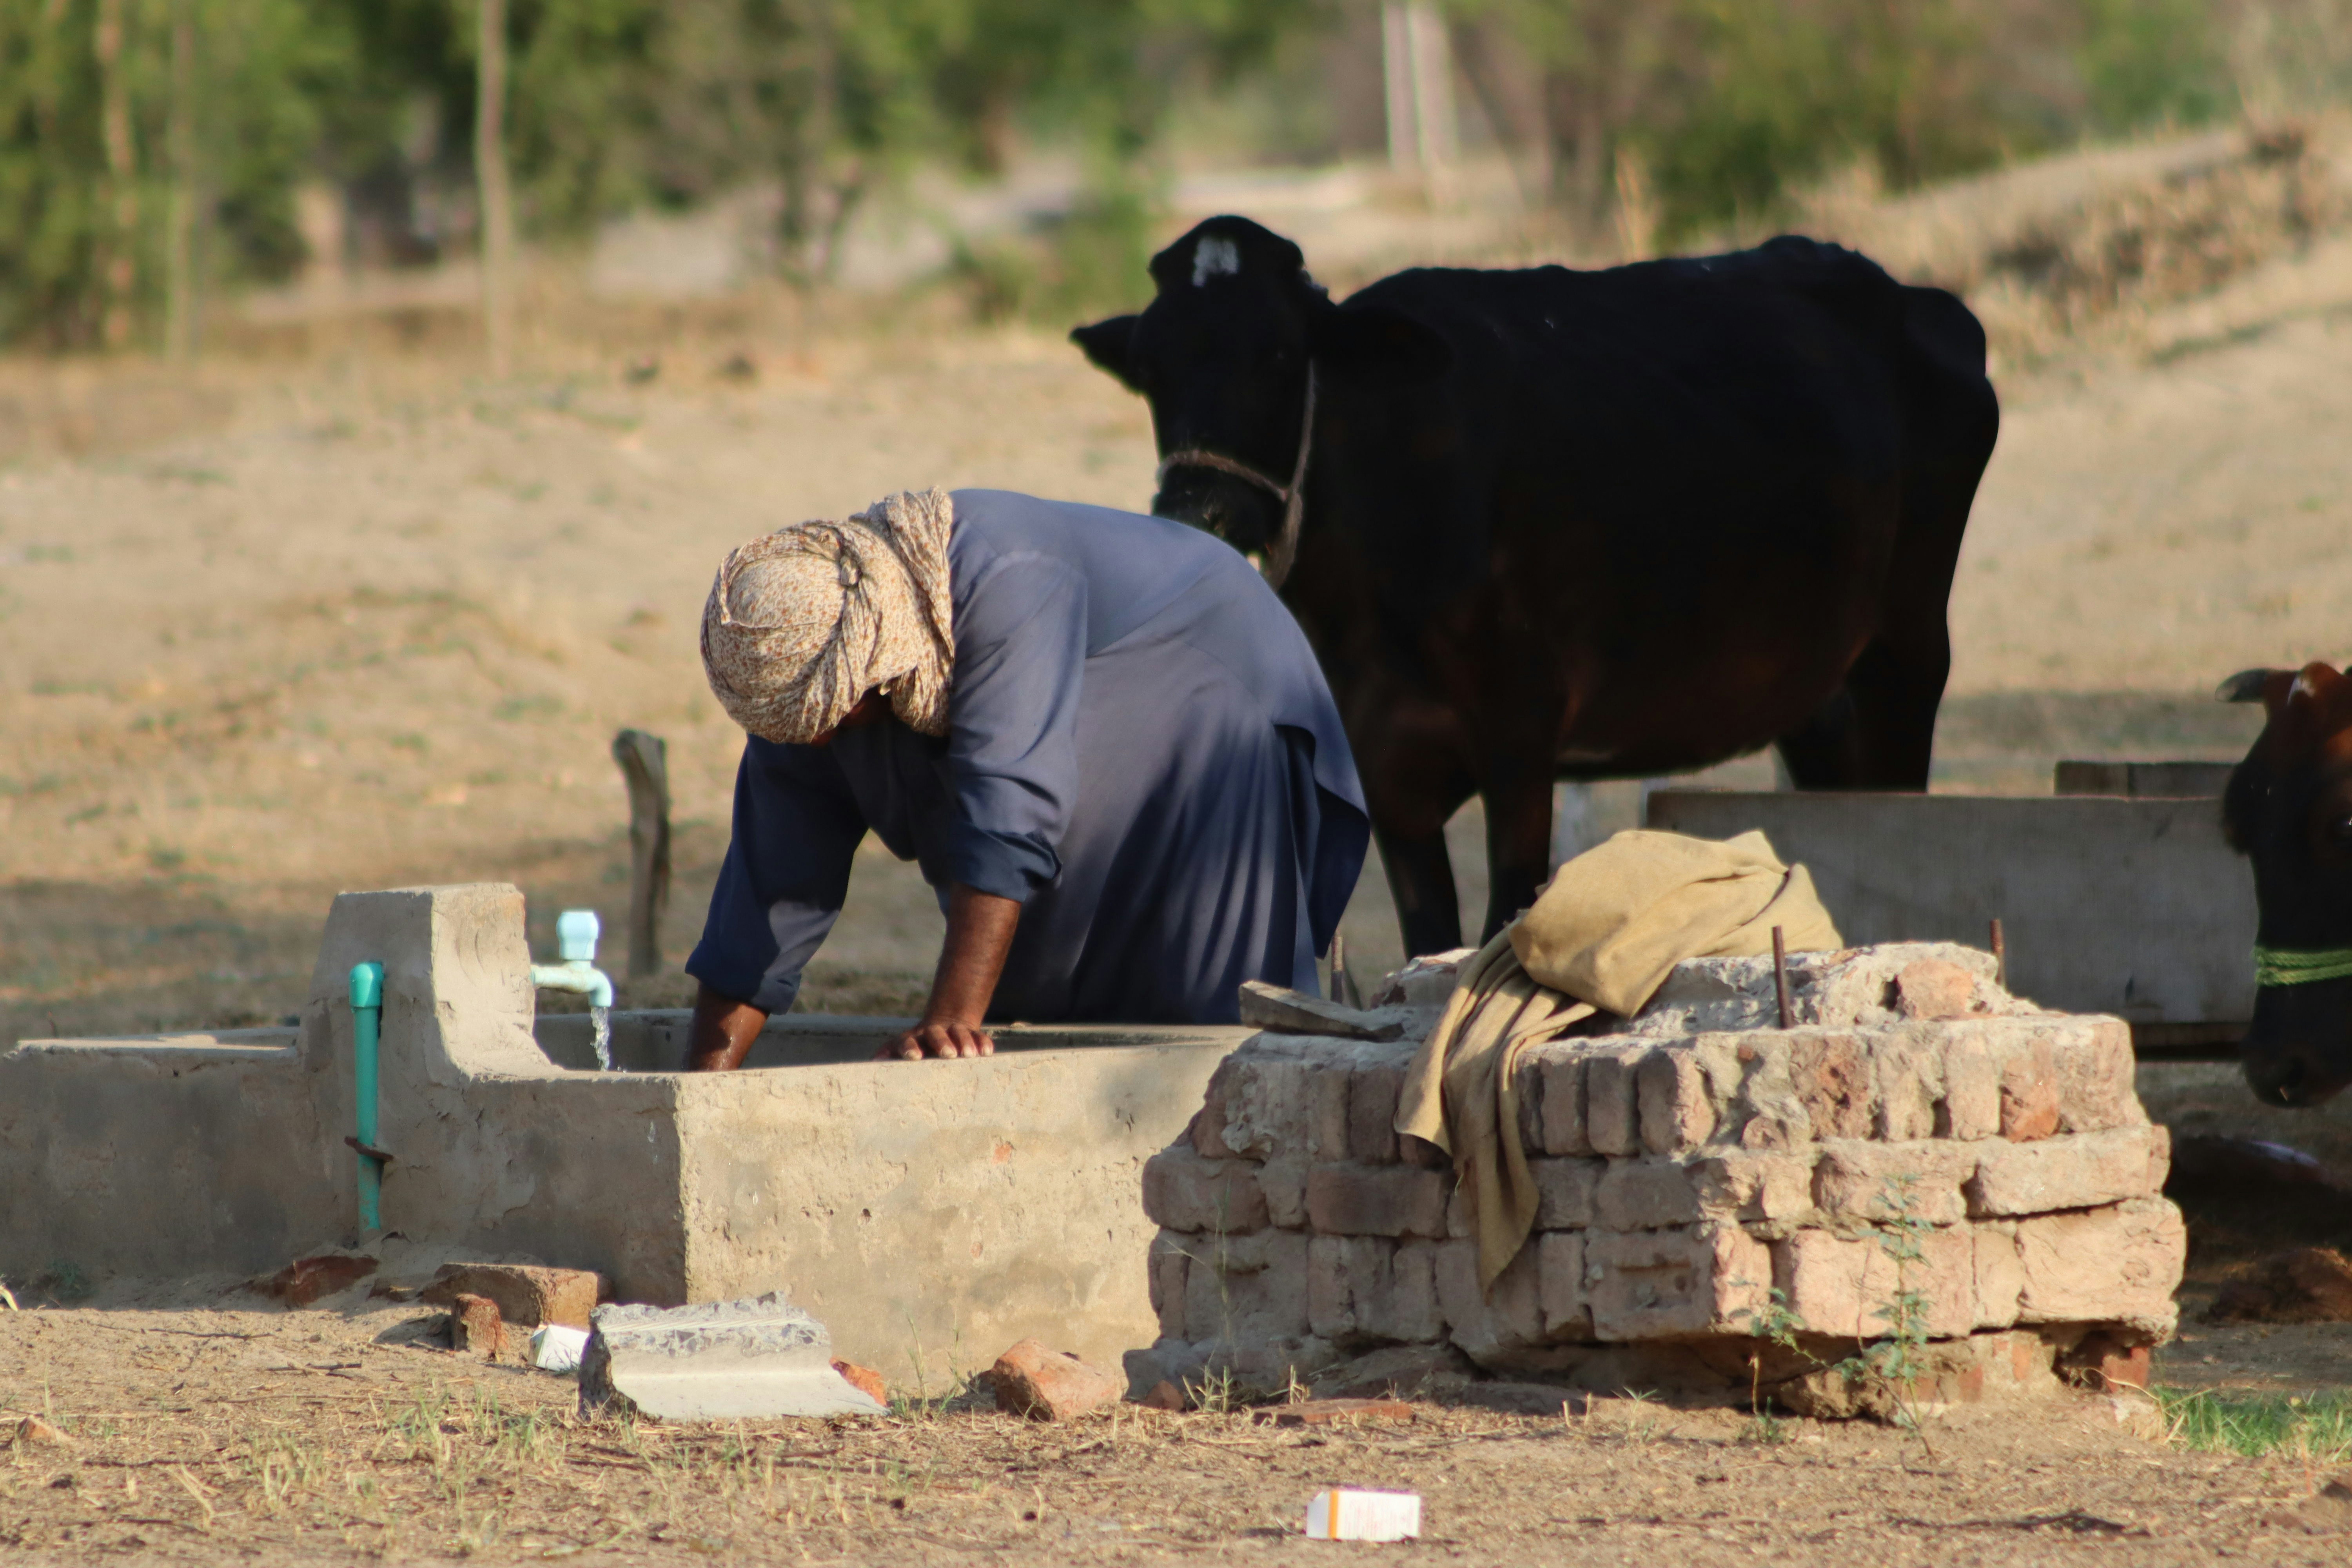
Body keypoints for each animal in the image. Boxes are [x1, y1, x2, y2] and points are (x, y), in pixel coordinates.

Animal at [1072, 216, 2001, 957]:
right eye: (1150, 367)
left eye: (1275, 353)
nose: (1198, 512)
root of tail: (1916, 299)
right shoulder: (1385, 770)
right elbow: (1429, 946)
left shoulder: (1520, 739)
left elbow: (1498, 929)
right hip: (1815, 697)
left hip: (1907, 657)